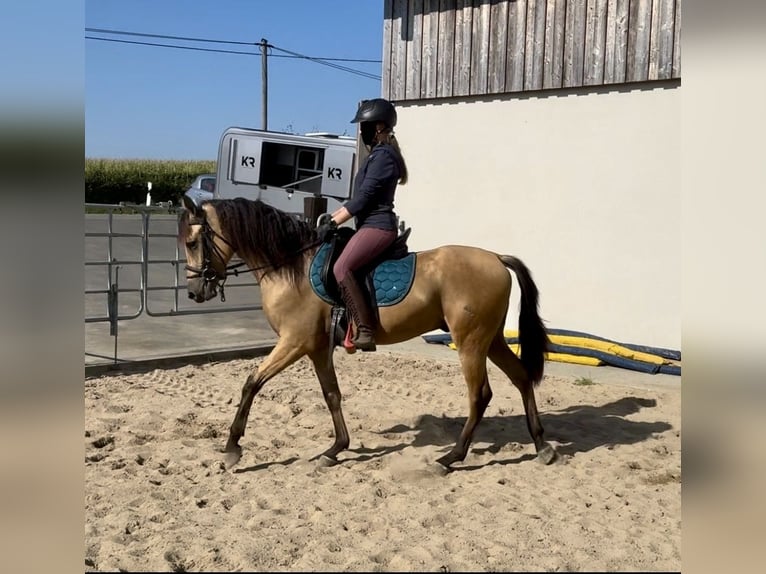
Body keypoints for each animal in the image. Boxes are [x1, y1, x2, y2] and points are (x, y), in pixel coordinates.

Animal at [183, 198, 560, 472]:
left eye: (191, 241)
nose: (194, 292)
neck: (293, 267)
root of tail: (496, 258)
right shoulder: (316, 347)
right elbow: (331, 394)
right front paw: (335, 449)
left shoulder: (294, 342)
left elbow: (252, 383)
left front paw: (232, 448)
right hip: (490, 340)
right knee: (521, 377)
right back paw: (542, 445)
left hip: (470, 343)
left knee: (480, 395)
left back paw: (450, 458)